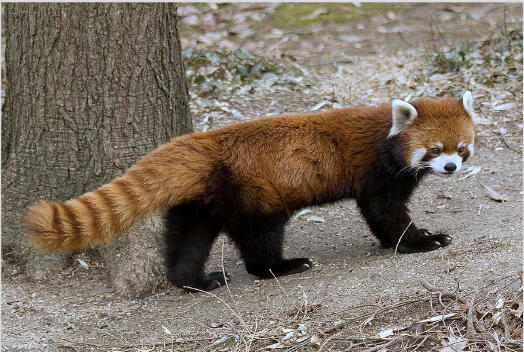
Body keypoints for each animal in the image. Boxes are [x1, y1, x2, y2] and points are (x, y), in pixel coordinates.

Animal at [23, 91, 474, 292]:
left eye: (461, 148)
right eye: (435, 150)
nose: (451, 168)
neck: (386, 135)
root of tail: (204, 142)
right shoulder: (375, 171)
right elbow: (384, 212)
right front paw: (421, 240)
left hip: (202, 199)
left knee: (189, 239)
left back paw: (195, 280)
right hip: (254, 192)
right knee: (259, 237)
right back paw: (283, 265)